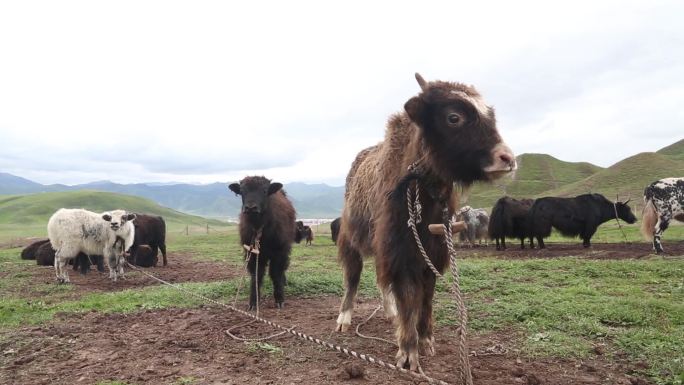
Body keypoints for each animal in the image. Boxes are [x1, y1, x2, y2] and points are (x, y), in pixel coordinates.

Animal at [230, 176, 296, 308]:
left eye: (265, 191)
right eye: (242, 191)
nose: (251, 208)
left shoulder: (279, 252)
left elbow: (276, 273)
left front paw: (279, 300)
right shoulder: (252, 254)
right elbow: (256, 275)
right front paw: (253, 302)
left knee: (282, 269)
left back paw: (284, 282)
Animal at [334, 72, 516, 368]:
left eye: (490, 114)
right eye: (454, 117)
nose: (507, 159)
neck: (424, 188)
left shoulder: (435, 249)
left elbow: (427, 295)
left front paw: (426, 339)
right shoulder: (402, 249)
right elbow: (409, 294)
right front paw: (408, 352)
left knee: (381, 280)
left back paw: (390, 312)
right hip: (352, 238)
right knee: (353, 275)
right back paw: (344, 319)